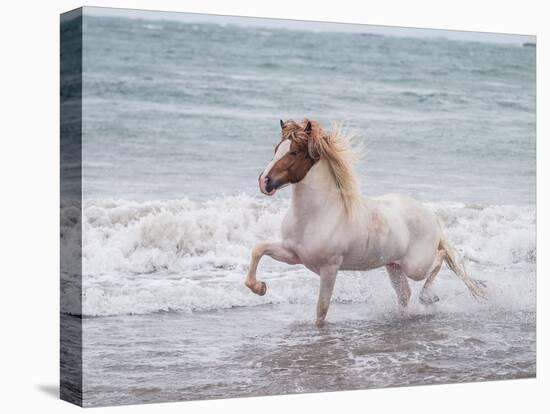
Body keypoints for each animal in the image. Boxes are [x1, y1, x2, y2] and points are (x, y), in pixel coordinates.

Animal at [246, 118, 488, 326]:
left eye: (294, 152)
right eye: (276, 149)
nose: (264, 181)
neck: (316, 214)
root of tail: (431, 216)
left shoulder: (329, 268)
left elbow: (321, 310)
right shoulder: (293, 254)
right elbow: (258, 249)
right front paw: (260, 288)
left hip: (415, 266)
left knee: (440, 257)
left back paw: (429, 297)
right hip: (393, 266)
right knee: (405, 294)